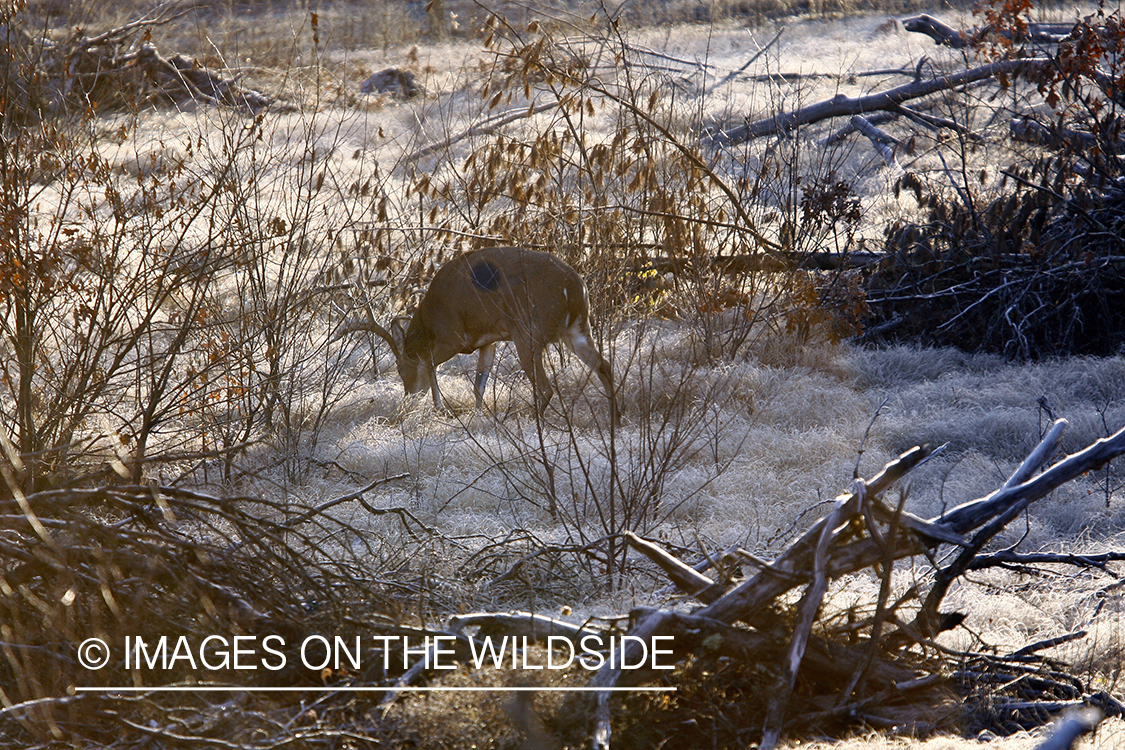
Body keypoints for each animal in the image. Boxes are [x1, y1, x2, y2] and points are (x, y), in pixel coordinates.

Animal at [337, 247, 621, 420]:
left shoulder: (452, 336)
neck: (430, 319)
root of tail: (575, 287)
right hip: (577, 329)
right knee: (604, 366)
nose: (409, 395)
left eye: (398, 367)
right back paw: (615, 418)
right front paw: (477, 414)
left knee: (546, 387)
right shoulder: (488, 340)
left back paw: (535, 420)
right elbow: (479, 384)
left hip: (528, 333)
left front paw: (440, 407)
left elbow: (429, 363)